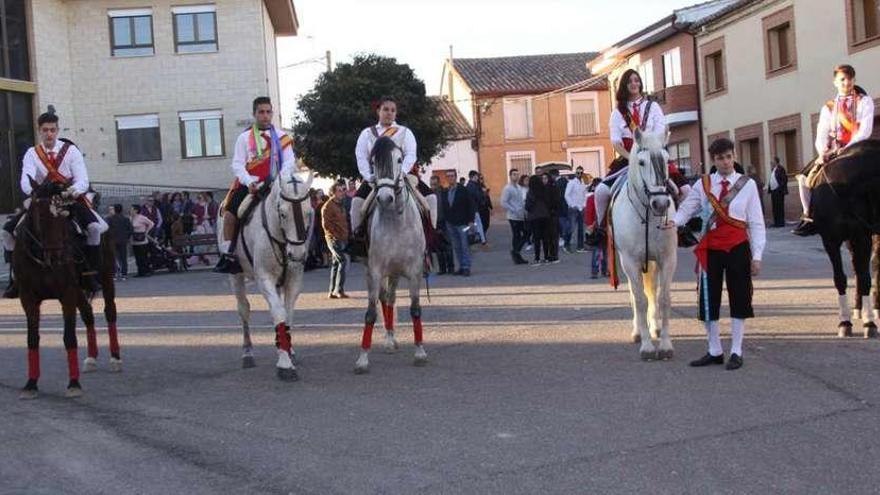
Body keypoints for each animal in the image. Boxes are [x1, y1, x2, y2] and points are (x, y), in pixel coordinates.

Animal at [13, 180, 119, 402]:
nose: (56, 257)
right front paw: (31, 384)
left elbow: (69, 337)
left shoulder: (67, 293)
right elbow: (32, 339)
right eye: (39, 214)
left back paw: (115, 358)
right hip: (80, 290)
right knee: (88, 315)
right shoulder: (28, 298)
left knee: (110, 312)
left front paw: (74, 384)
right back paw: (91, 358)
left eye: (64, 216)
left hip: (106, 277)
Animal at [217, 169, 316, 382]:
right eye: (283, 213)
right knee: (243, 309)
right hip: (235, 276)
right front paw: (285, 365)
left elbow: (287, 314)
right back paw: (247, 353)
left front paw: (287, 350)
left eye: (308, 212)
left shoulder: (294, 280)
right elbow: (278, 312)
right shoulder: (264, 279)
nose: (297, 255)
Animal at [608, 128, 676, 360]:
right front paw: (647, 346)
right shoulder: (630, 262)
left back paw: (654, 327)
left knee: (652, 290)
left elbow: (663, 299)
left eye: (667, 160)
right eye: (641, 162)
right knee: (634, 294)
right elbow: (639, 300)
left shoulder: (667, 259)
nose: (661, 204)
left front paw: (665, 344)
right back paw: (638, 331)